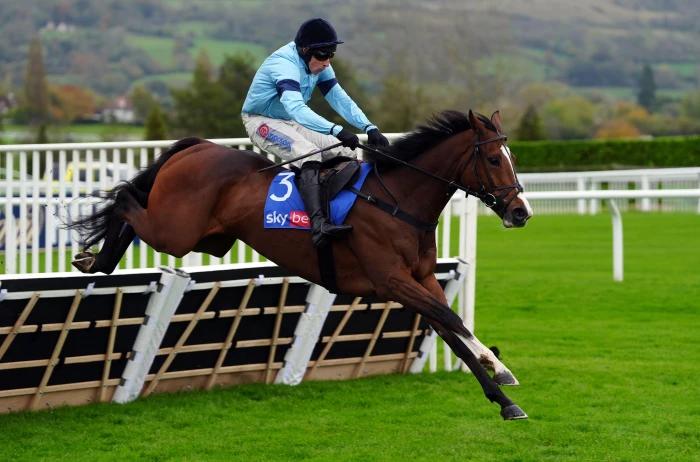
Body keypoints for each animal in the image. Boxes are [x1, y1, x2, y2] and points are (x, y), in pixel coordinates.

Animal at [69, 110, 532, 420]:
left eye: (512, 157)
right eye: (495, 159)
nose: (521, 212)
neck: (397, 200)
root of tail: (197, 146)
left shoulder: (420, 279)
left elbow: (452, 328)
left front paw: (503, 389)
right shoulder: (392, 280)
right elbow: (449, 319)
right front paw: (500, 373)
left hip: (207, 238)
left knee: (133, 203)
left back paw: (97, 259)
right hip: (176, 233)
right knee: (127, 198)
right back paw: (96, 256)